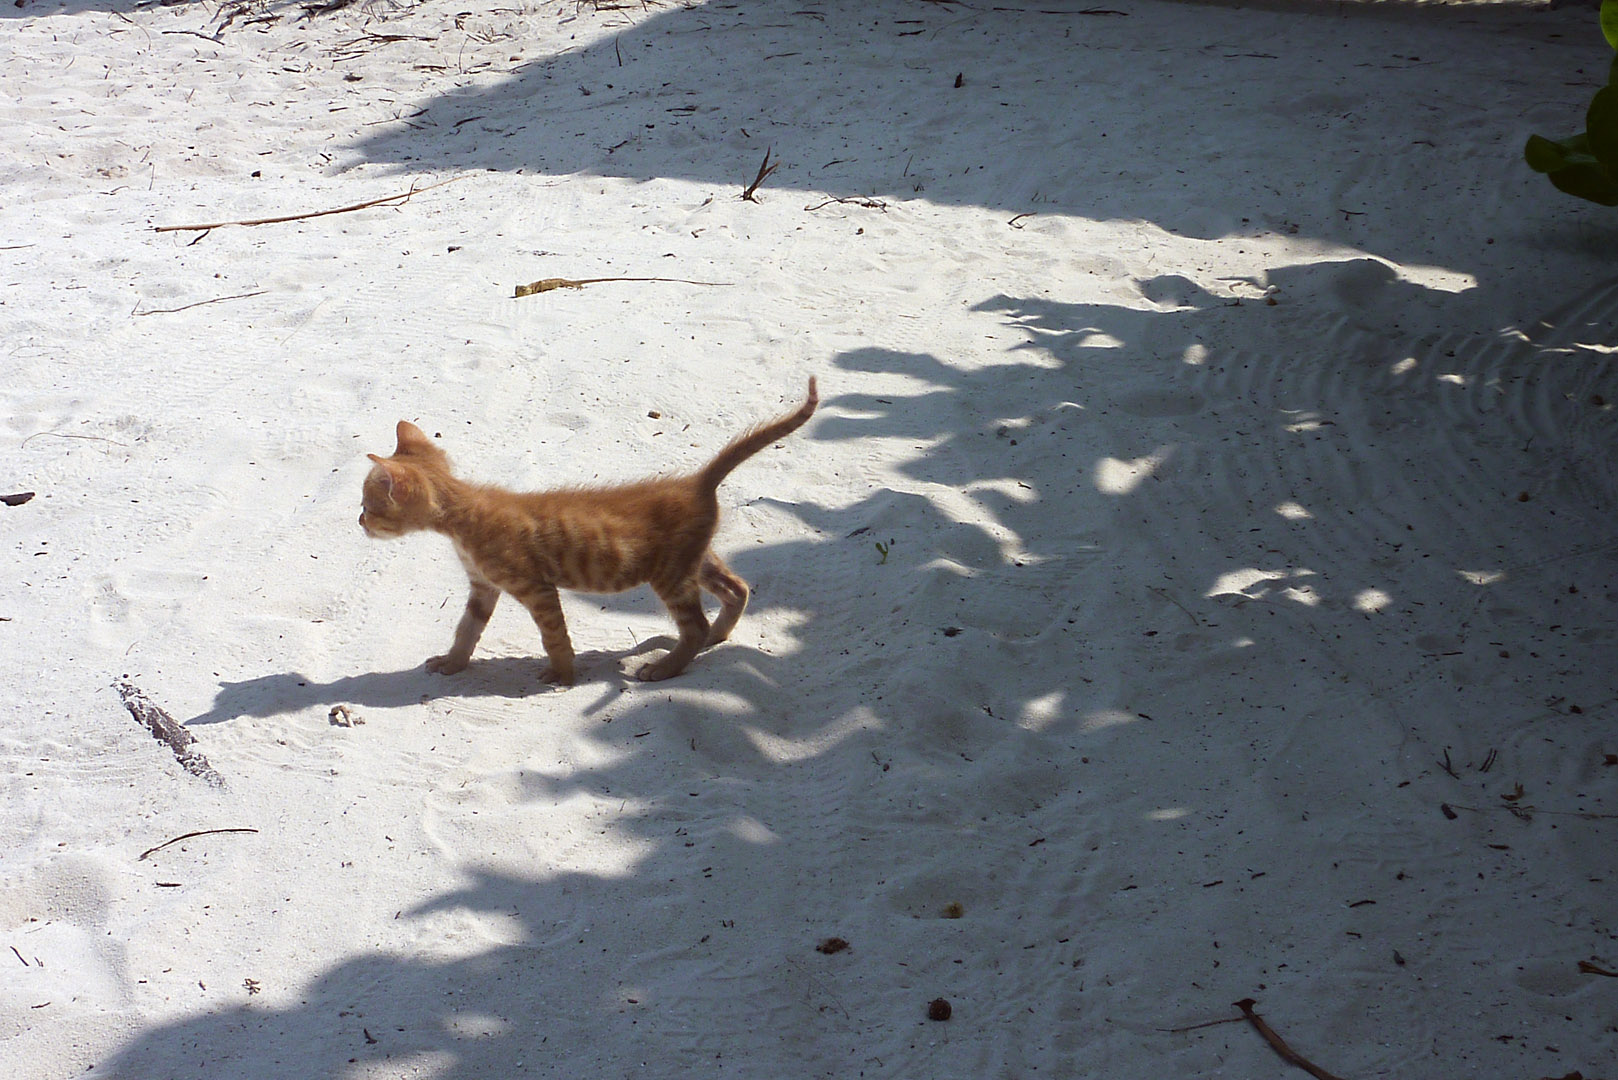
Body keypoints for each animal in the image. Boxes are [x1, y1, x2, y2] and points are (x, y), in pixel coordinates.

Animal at [360, 380, 815, 683]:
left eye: (367, 505)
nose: (358, 522)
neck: (463, 517)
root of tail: (695, 482)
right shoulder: (483, 587)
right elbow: (466, 630)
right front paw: (453, 662)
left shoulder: (536, 588)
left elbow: (554, 635)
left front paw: (562, 674)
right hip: (692, 560)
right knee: (737, 588)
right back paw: (718, 635)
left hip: (670, 574)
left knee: (695, 625)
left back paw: (665, 666)